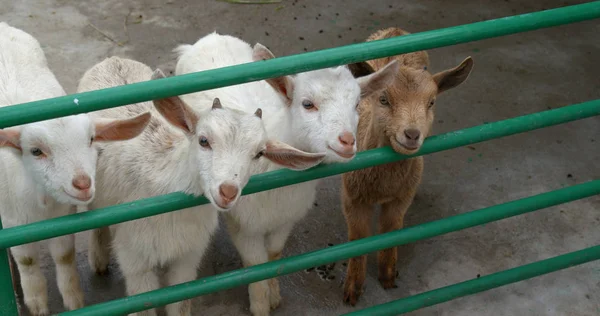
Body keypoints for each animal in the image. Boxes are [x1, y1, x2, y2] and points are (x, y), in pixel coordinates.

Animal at [0, 22, 149, 316]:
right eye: (36, 151)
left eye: (91, 139)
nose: (82, 183)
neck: (40, 202)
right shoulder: (12, 221)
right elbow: (28, 262)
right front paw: (36, 304)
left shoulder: (63, 215)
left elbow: (64, 255)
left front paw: (73, 299)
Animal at [77, 56, 326, 316]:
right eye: (203, 140)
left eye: (259, 153)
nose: (228, 192)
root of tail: (114, 59)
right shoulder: (135, 259)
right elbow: (144, 305)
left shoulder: (188, 256)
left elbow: (181, 304)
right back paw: (99, 260)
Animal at [173, 32, 398, 316]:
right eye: (307, 104)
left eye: (357, 104)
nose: (347, 141)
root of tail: (211, 37)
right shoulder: (244, 224)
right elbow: (255, 265)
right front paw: (260, 305)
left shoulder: (285, 220)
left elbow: (274, 255)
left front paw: (275, 295)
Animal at [342, 27, 474, 306]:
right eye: (383, 99)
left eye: (432, 102)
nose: (412, 134)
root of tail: (395, 30)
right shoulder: (353, 199)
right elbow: (357, 239)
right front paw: (353, 288)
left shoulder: (402, 198)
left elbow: (392, 230)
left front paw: (387, 275)